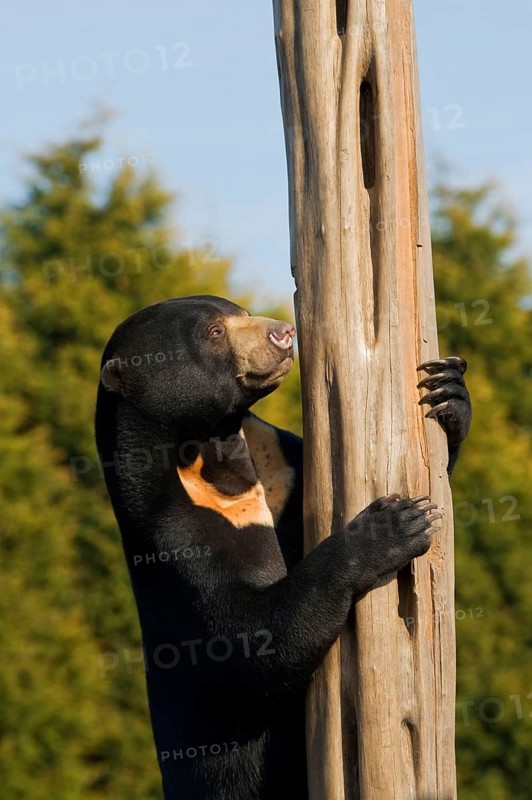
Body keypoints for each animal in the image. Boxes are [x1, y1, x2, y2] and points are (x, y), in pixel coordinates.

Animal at [95, 295, 471, 800]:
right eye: (214, 332)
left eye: (240, 311)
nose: (283, 333)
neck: (212, 456)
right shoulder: (174, 538)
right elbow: (252, 639)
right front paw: (394, 523)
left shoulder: (284, 466)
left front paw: (448, 391)